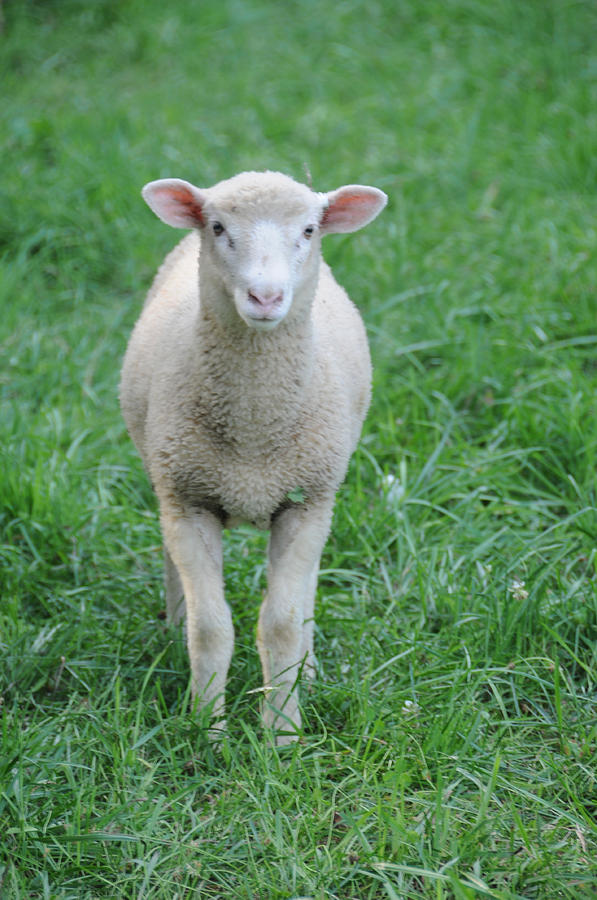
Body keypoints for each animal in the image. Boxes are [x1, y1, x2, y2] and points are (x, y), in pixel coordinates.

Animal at [121, 169, 386, 744]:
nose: (266, 296)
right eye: (218, 227)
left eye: (309, 229)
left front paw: (282, 734)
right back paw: (173, 636)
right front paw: (207, 732)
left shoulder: (304, 504)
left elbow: (280, 623)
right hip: (168, 479)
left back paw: (309, 666)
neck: (252, 439)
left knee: (304, 590)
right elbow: (210, 627)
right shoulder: (189, 499)